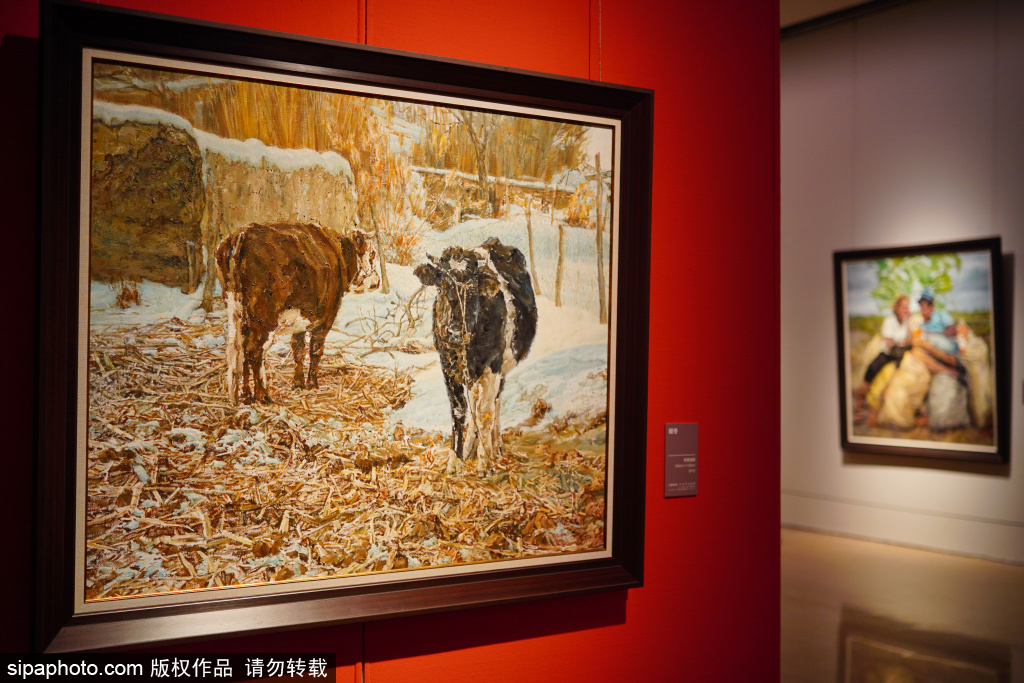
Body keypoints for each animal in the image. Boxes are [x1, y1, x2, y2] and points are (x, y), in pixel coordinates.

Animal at [216, 223, 380, 405]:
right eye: (372, 254)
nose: (376, 281)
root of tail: (244, 233)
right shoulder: (326, 317)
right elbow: (315, 350)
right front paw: (312, 384)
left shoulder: (302, 320)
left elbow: (298, 349)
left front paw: (298, 383)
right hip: (264, 320)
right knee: (254, 352)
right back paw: (262, 395)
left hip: (237, 312)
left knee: (241, 351)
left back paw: (245, 396)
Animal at [413, 239, 540, 471]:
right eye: (441, 284)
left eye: (473, 289)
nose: (454, 331)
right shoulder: (447, 366)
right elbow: (459, 412)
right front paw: (456, 459)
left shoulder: (492, 365)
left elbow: (483, 412)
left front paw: (484, 461)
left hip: (500, 368)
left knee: (492, 404)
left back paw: (493, 448)